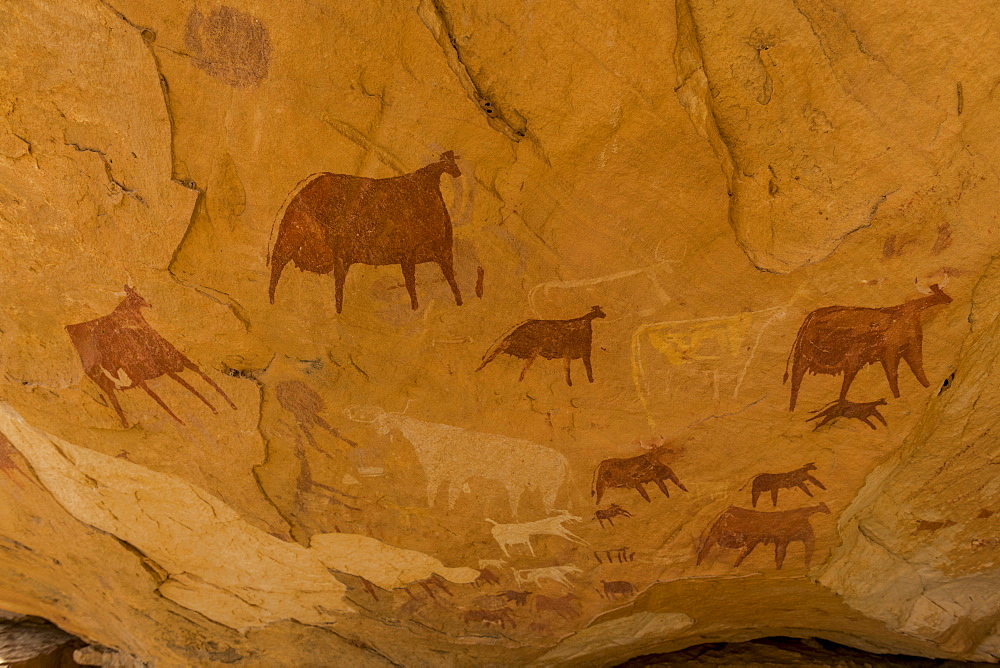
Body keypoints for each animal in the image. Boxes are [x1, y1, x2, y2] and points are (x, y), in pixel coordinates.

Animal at [270, 153, 464, 314]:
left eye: (454, 162)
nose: (458, 172)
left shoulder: (429, 254)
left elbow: (442, 281)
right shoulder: (412, 254)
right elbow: (413, 284)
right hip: (293, 242)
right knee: (278, 265)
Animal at [780, 284, 952, 410]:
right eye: (940, 292)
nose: (950, 299)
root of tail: (809, 317)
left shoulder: (910, 348)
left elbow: (916, 369)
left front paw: (926, 387)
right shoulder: (888, 353)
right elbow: (893, 375)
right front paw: (897, 396)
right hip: (804, 357)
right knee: (797, 380)